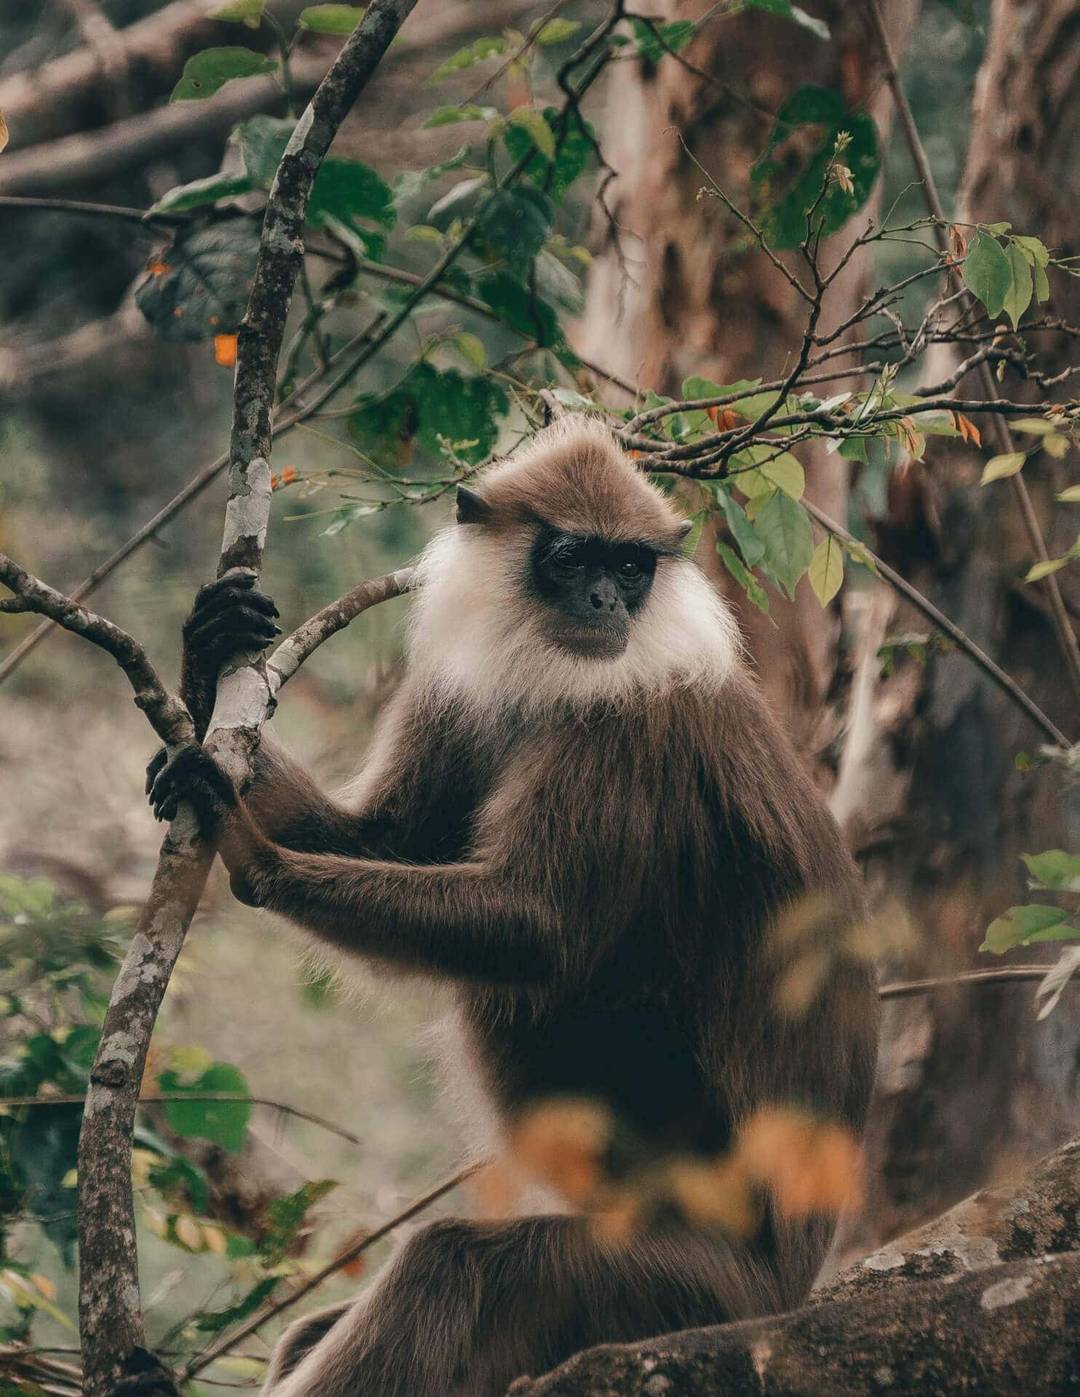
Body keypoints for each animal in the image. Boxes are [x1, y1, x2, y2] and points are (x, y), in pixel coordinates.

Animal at [148, 419, 878, 1397]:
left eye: (630, 567)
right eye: (571, 558)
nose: (606, 600)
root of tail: (794, 1285)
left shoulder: (629, 720)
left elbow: (537, 934)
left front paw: (249, 846)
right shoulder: (467, 692)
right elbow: (387, 839)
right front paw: (205, 654)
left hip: (679, 1283)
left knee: (458, 1259)